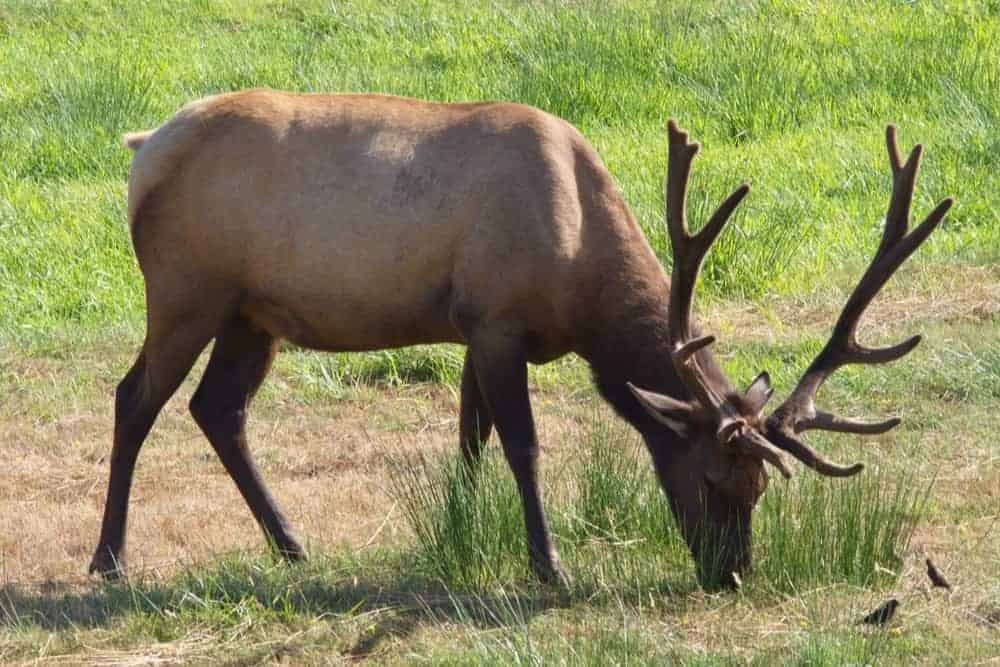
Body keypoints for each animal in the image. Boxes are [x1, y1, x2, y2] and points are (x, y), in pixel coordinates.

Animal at [94, 90, 952, 588]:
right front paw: (549, 566)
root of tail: (142, 148)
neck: (580, 275)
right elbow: (522, 445)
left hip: (251, 313)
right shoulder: (498, 319)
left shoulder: (473, 327)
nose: (732, 574)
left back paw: (292, 543)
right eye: (713, 478)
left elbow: (470, 436)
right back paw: (109, 559)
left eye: (762, 487)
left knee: (218, 408)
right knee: (135, 397)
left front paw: (461, 530)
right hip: (184, 289)